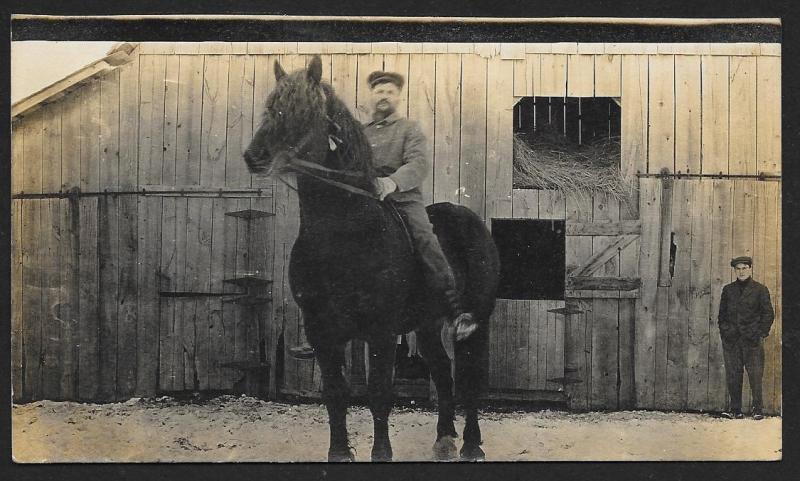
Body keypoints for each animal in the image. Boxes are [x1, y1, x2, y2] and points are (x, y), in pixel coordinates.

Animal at [242, 54, 500, 460]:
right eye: (270, 106)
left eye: (305, 110)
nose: (255, 157)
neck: (343, 235)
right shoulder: (322, 330)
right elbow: (336, 393)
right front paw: (339, 452)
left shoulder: (380, 330)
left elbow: (379, 393)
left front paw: (381, 452)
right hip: (427, 324)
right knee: (443, 373)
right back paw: (444, 438)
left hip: (476, 321)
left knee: (469, 379)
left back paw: (471, 444)